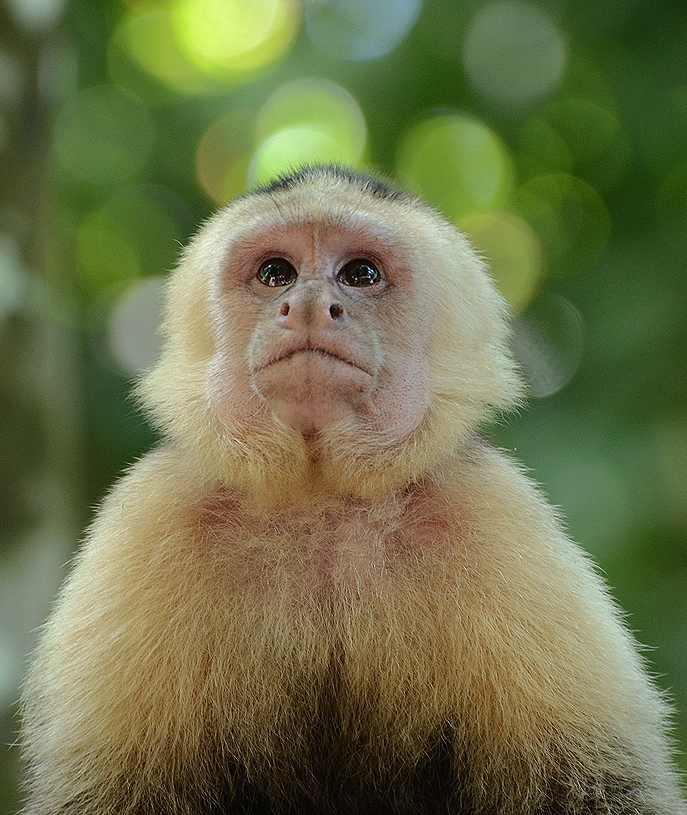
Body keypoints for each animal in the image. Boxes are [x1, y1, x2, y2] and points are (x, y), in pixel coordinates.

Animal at [18, 167, 684, 815]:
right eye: (276, 273)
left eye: (360, 274)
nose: (311, 304)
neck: (321, 501)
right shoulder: (151, 514)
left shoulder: (495, 508)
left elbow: (604, 785)